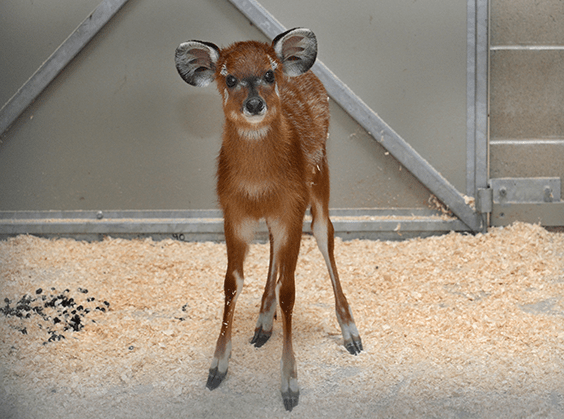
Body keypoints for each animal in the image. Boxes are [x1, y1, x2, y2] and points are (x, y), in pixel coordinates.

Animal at [174, 27, 364, 412]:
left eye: (268, 74)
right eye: (229, 78)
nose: (254, 104)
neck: (258, 183)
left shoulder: (291, 207)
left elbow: (290, 290)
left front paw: (290, 386)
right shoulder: (234, 214)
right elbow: (231, 283)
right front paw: (217, 369)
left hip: (319, 179)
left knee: (324, 233)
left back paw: (351, 333)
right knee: (276, 249)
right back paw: (263, 323)